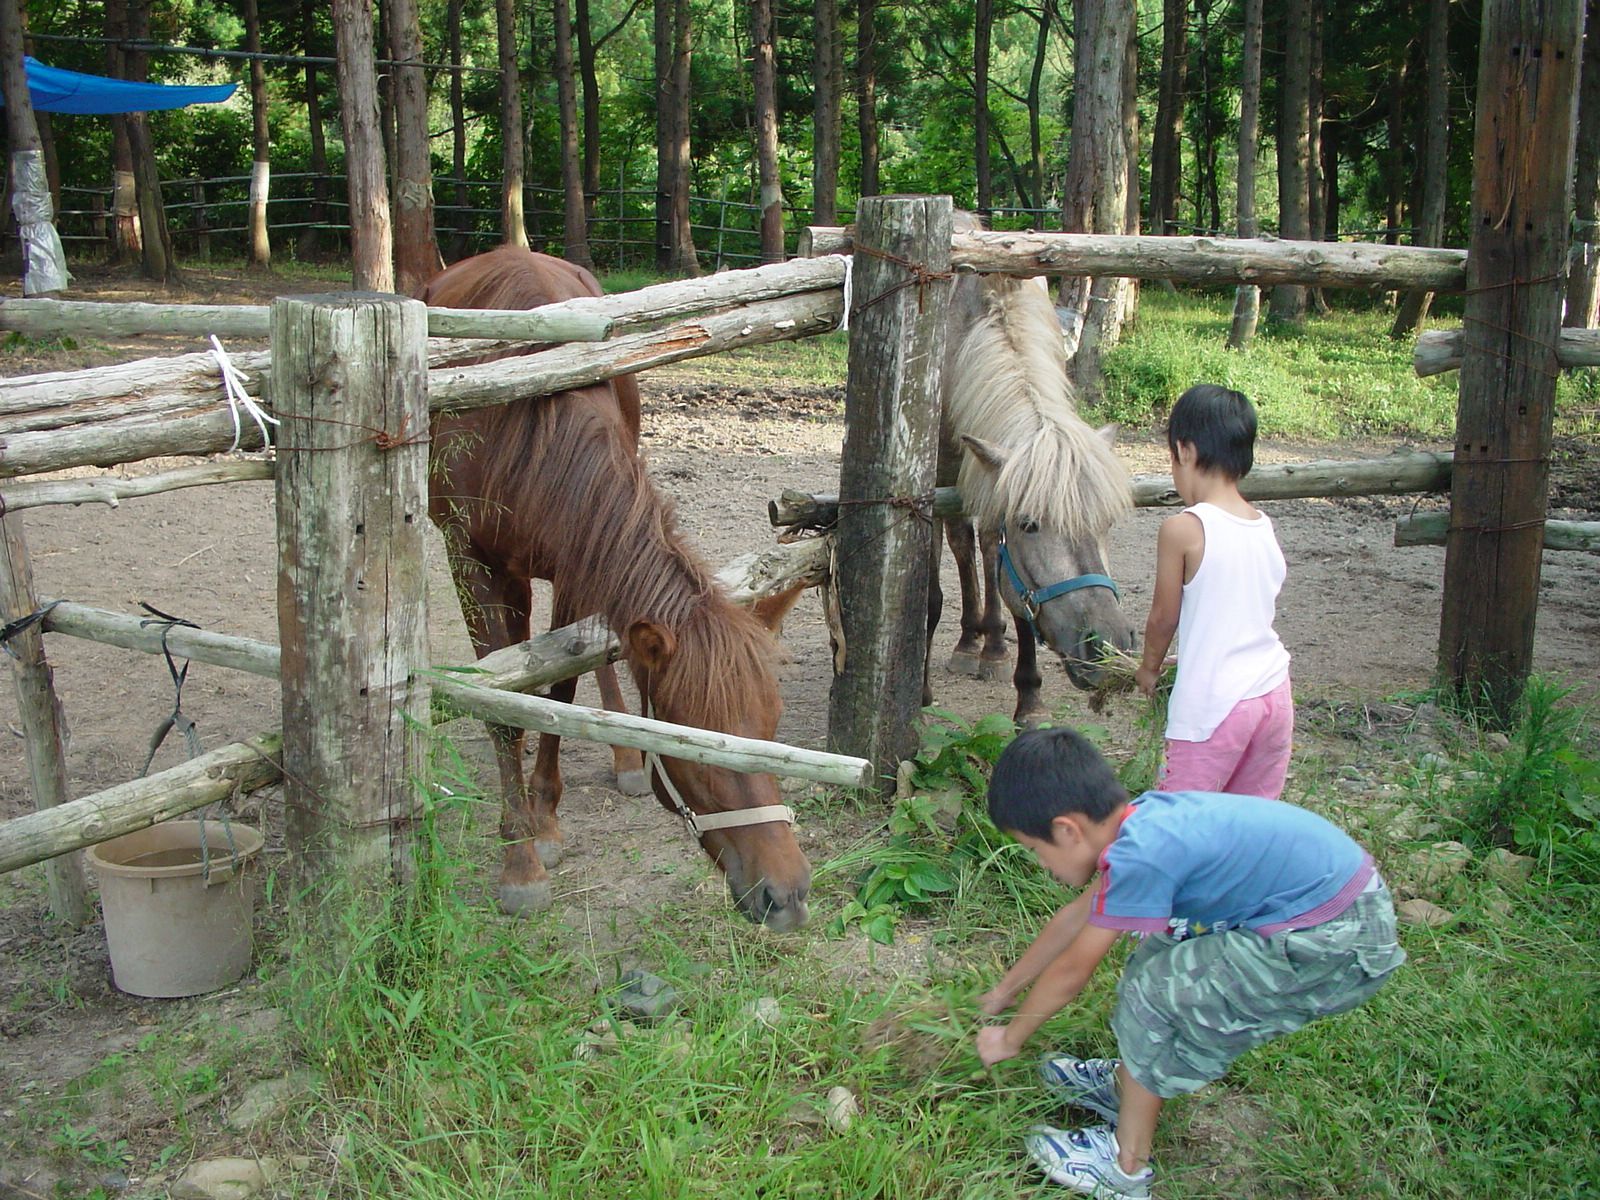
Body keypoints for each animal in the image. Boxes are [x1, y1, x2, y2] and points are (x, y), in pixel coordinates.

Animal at [422, 249, 812, 934]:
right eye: (697, 747)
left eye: (772, 724)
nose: (786, 897)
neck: (528, 431)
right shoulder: (470, 563)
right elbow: (504, 708)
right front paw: (521, 861)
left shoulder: (577, 562)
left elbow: (561, 686)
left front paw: (546, 819)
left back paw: (622, 757)